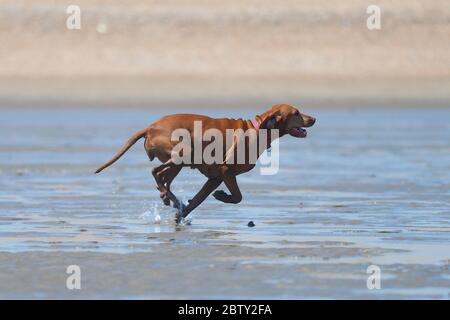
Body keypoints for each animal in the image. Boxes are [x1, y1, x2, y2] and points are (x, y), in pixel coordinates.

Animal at [96, 104, 312, 221]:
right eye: (296, 112)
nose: (314, 119)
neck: (257, 129)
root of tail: (150, 127)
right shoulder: (226, 172)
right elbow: (238, 197)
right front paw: (222, 196)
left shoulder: (215, 178)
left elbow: (197, 201)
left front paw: (181, 214)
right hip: (183, 153)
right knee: (156, 172)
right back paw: (168, 197)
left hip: (179, 162)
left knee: (163, 179)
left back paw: (170, 199)